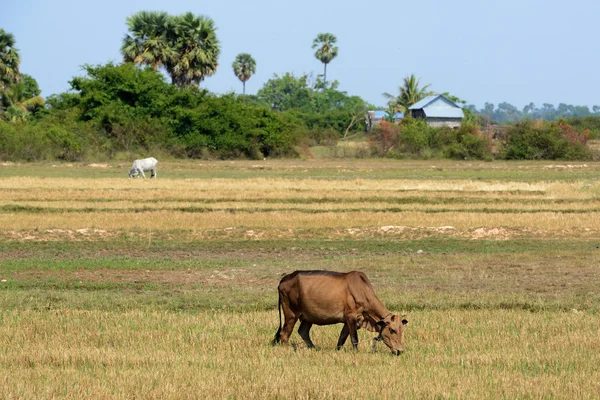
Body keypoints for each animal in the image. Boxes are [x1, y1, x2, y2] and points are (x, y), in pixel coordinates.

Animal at [274, 270, 408, 354]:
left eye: (402, 331)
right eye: (392, 330)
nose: (400, 351)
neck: (362, 290)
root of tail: (285, 279)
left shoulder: (349, 322)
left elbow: (342, 338)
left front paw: (337, 350)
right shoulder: (351, 317)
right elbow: (354, 339)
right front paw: (356, 352)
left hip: (308, 317)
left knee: (303, 331)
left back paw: (314, 348)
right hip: (291, 314)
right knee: (284, 334)